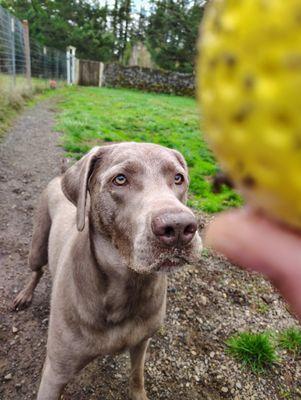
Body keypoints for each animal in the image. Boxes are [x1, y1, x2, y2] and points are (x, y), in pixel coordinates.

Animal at [13, 142, 202, 398]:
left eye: (178, 178)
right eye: (120, 179)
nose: (180, 227)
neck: (127, 285)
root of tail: (61, 175)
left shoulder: (141, 342)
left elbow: (136, 376)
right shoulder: (55, 374)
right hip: (38, 244)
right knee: (37, 270)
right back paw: (25, 295)